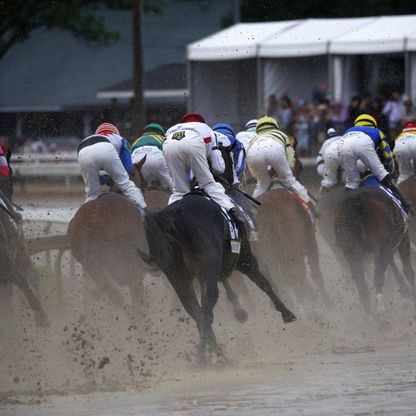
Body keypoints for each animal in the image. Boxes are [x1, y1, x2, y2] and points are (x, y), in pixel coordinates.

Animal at [146, 193, 296, 362]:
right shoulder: (245, 260)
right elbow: (264, 283)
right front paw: (286, 313)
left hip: (178, 278)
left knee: (195, 311)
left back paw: (215, 352)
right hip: (209, 273)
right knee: (206, 312)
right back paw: (204, 356)